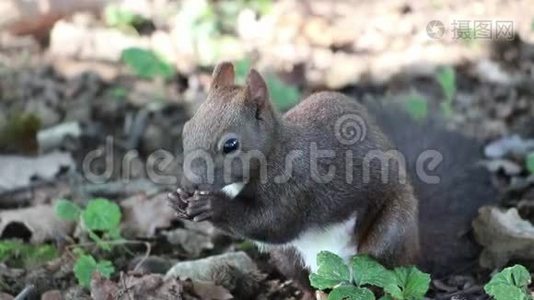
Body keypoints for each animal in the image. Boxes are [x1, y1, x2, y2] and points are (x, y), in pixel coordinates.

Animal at [169, 61, 498, 298]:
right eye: (186, 128)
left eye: (231, 145)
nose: (189, 184)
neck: (276, 150)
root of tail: (416, 248)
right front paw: (178, 200)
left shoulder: (299, 184)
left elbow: (272, 221)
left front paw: (211, 206)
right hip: (288, 258)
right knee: (309, 282)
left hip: (387, 238)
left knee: (381, 279)